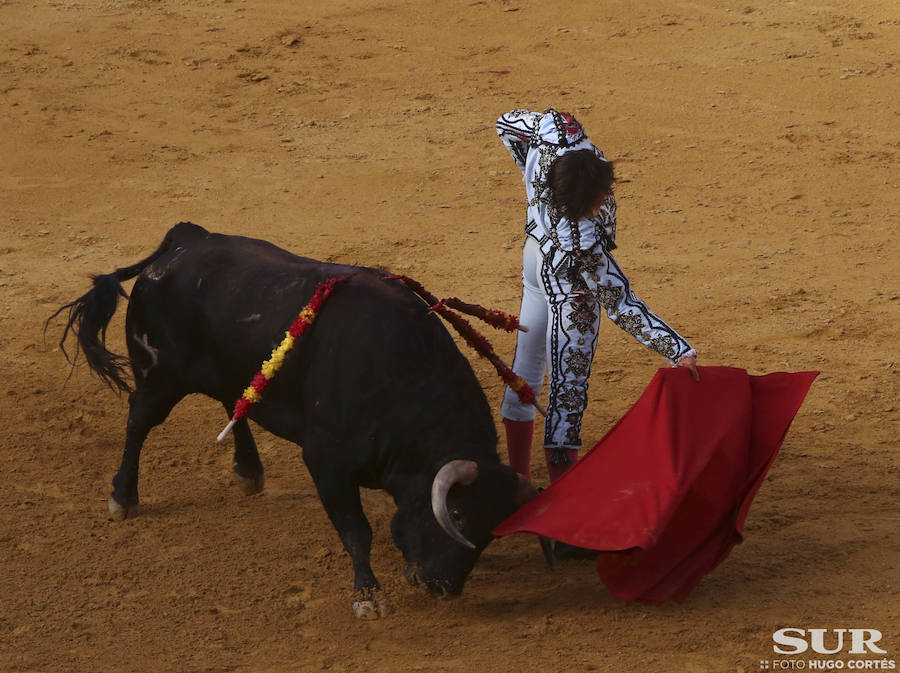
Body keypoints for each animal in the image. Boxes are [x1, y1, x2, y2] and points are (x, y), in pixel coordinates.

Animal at [52, 223, 552, 616]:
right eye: (459, 517)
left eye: (489, 533)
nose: (443, 589)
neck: (394, 371)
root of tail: (184, 239)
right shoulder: (327, 462)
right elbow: (356, 530)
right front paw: (368, 596)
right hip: (159, 378)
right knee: (138, 423)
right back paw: (123, 497)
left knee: (232, 405)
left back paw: (248, 471)